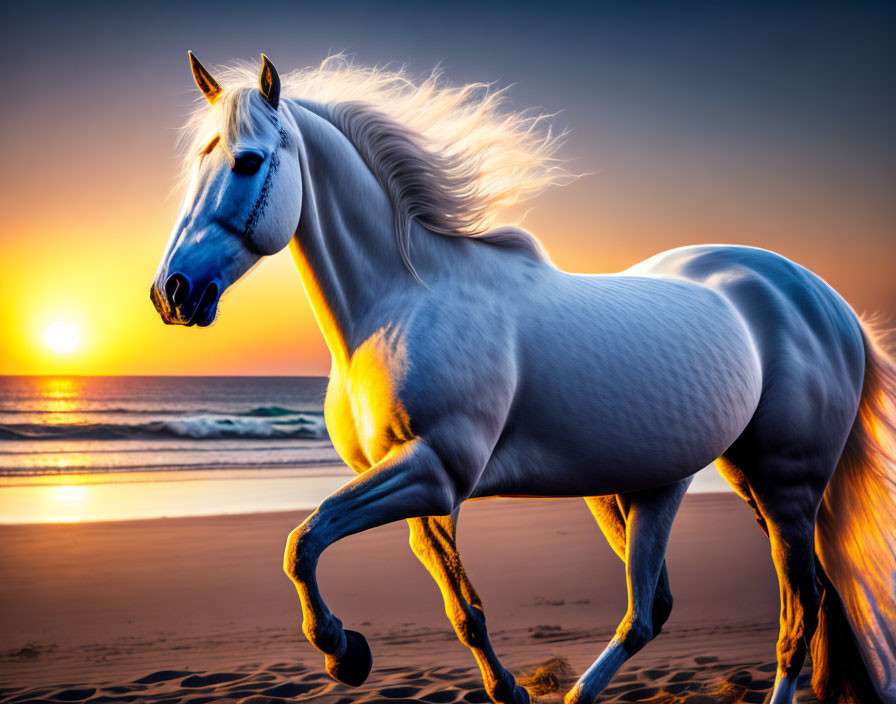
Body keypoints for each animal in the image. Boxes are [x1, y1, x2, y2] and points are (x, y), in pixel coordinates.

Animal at [152, 55, 896, 704]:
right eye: (195, 163)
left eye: (247, 161)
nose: (171, 293)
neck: (402, 301)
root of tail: (825, 300)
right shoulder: (423, 493)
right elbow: (463, 610)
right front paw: (500, 688)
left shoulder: (434, 472)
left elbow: (301, 542)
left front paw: (344, 652)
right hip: (682, 482)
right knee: (657, 608)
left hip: (785, 485)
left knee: (798, 613)